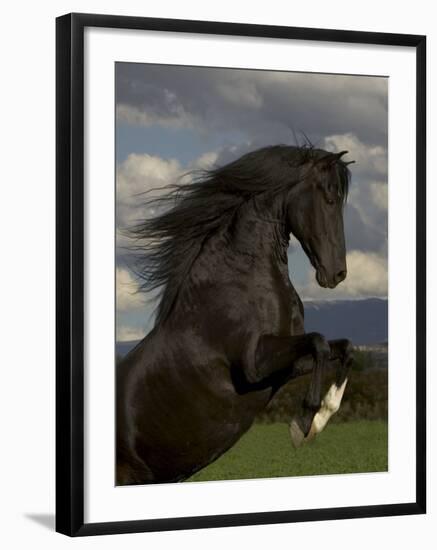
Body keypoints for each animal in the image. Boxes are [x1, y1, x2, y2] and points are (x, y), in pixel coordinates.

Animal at [116, 144, 354, 486]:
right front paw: (303, 426)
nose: (337, 273)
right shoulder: (254, 364)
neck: (241, 279)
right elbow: (320, 343)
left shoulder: (289, 364)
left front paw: (317, 421)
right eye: (329, 197)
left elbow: (344, 348)